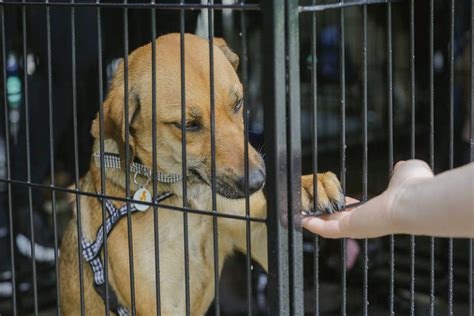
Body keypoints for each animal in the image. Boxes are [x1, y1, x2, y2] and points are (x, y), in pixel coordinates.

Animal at [58, 33, 344, 314]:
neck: (190, 200)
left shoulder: (257, 234)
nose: (257, 181)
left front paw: (309, 185)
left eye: (238, 103)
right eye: (188, 125)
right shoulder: (157, 300)